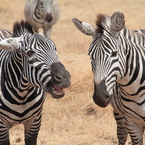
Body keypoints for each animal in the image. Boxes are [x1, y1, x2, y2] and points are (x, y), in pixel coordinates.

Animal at [72, 10, 145, 144]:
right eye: (90, 55)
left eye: (114, 53)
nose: (99, 97)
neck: (135, 91)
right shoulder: (131, 122)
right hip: (119, 113)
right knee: (121, 134)